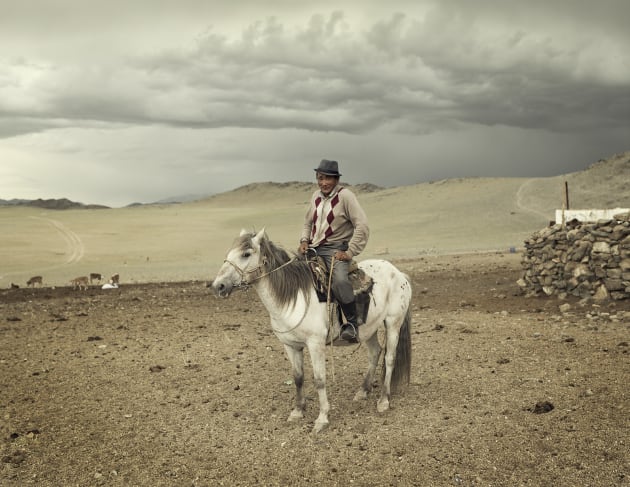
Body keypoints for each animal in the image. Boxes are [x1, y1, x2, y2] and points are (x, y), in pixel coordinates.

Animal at [211, 230, 414, 434]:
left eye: (246, 254)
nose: (218, 286)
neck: (293, 297)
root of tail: (399, 274)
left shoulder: (315, 344)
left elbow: (319, 379)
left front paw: (322, 418)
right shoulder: (291, 346)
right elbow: (298, 377)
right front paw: (297, 411)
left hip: (393, 323)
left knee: (389, 359)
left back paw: (384, 400)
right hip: (368, 329)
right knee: (375, 353)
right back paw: (363, 391)